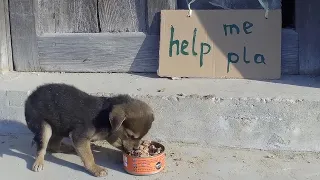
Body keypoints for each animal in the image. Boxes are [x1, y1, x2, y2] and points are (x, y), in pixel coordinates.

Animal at [24, 83, 154, 177]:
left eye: (142, 137)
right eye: (130, 135)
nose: (136, 150)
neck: (106, 116)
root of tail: (30, 97)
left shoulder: (111, 134)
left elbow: (119, 144)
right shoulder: (79, 136)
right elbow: (89, 157)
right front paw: (96, 169)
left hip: (61, 125)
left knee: (54, 146)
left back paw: (70, 148)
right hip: (44, 127)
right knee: (42, 147)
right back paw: (39, 162)